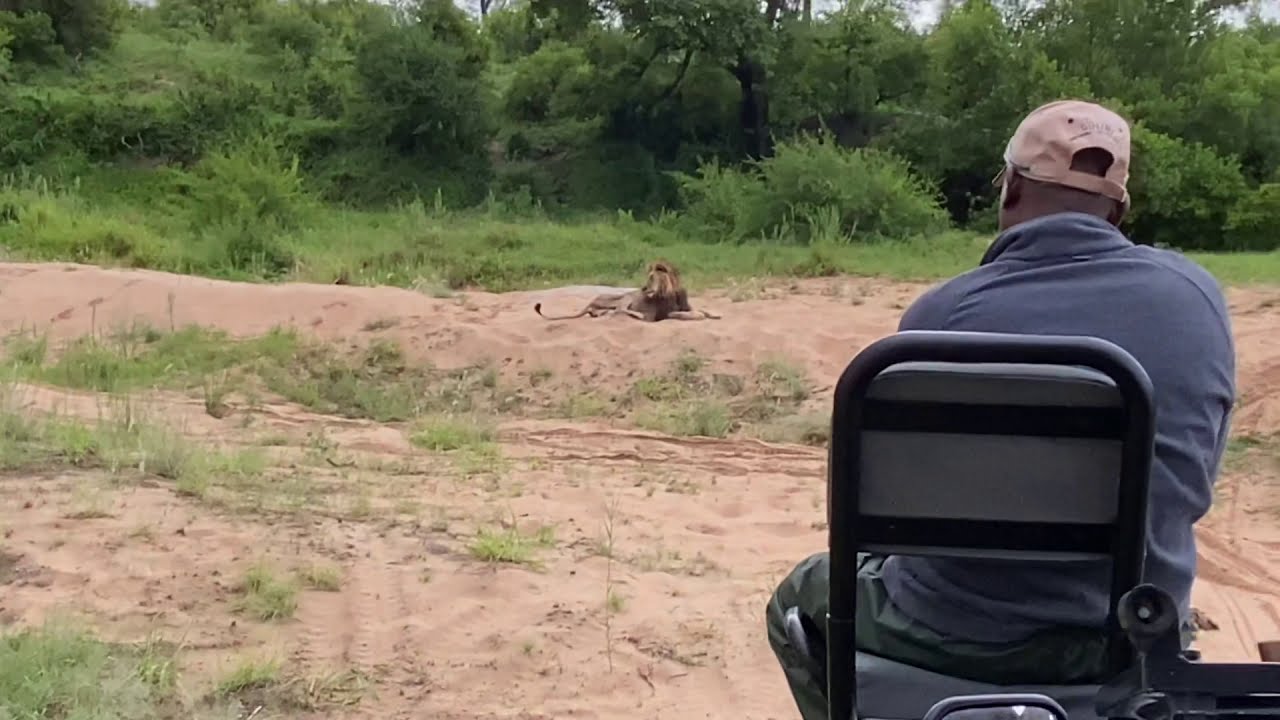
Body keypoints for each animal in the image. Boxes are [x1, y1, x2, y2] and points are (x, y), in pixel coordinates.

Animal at [533, 260, 721, 322]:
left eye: (651, 277)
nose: (643, 288)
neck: (672, 290)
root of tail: (591, 301)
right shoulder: (663, 314)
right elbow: (684, 314)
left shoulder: (686, 305)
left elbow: (702, 310)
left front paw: (715, 314)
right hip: (624, 296)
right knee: (620, 309)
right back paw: (636, 315)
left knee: (609, 312)